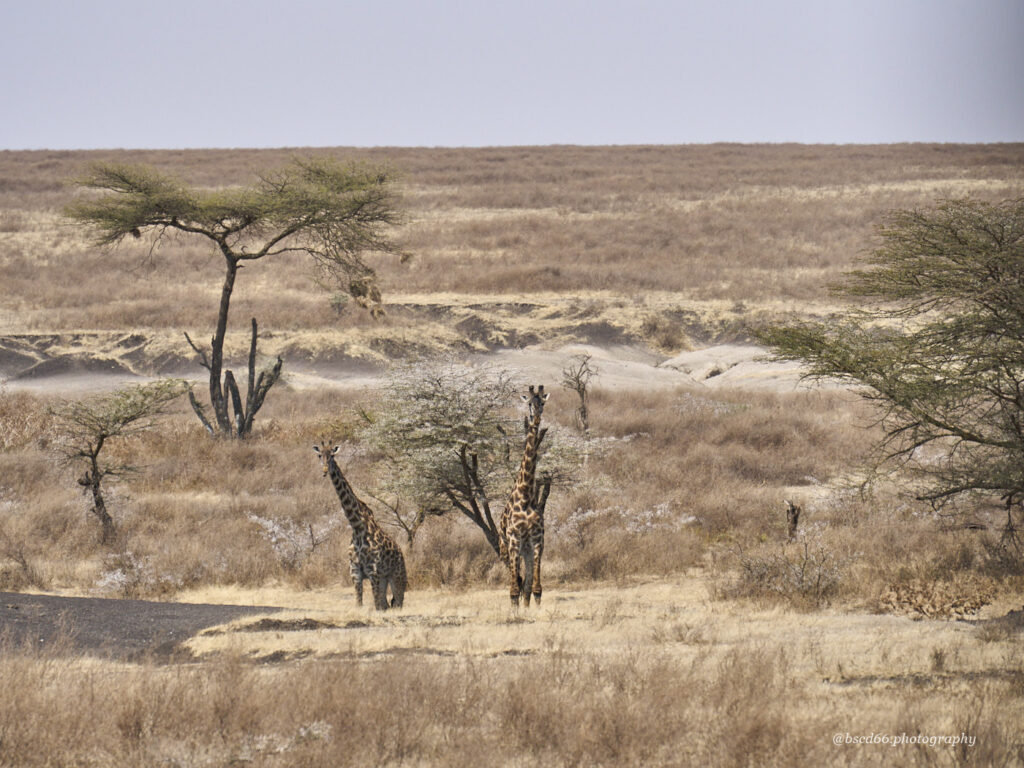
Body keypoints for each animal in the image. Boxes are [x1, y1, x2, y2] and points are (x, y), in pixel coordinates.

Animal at [313, 442, 405, 610]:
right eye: (319, 455)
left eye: (332, 455)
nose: (325, 471)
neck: (357, 526)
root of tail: (401, 553)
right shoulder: (355, 572)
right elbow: (359, 604)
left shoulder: (373, 572)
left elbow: (376, 606)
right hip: (384, 578)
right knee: (386, 605)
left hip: (397, 577)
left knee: (397, 603)